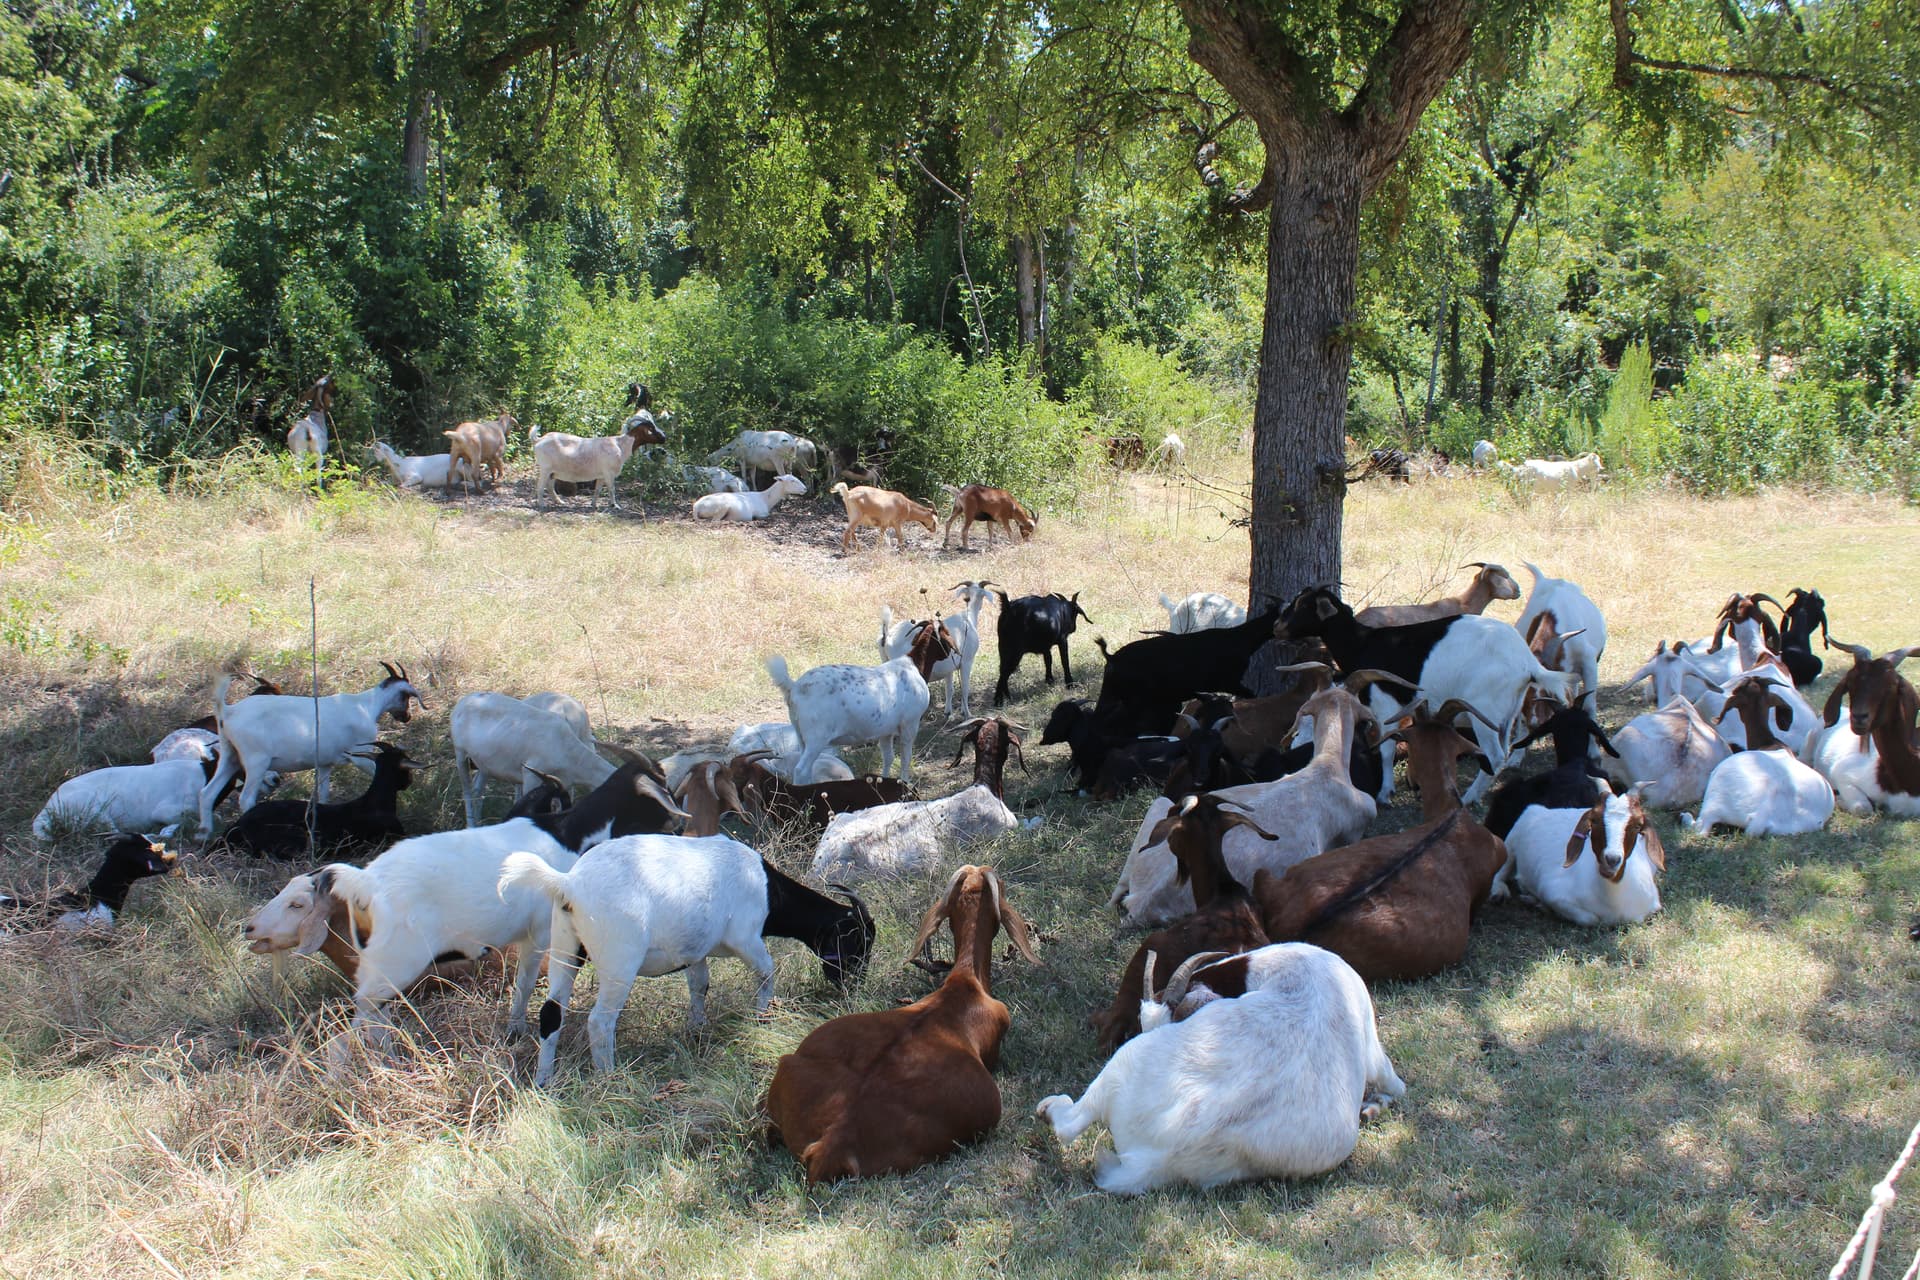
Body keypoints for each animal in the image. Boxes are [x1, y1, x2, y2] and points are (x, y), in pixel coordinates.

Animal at [197, 664, 422, 833]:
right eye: (406, 697)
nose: (407, 717)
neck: (366, 705)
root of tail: (228, 711)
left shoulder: (325, 763)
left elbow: (323, 795)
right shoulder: (361, 755)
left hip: (230, 756)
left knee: (207, 792)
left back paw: (204, 833)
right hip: (256, 761)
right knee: (245, 799)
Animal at [766, 624, 953, 785]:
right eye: (945, 633)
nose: (951, 651)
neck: (914, 666)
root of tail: (794, 687)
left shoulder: (885, 731)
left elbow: (888, 758)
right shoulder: (910, 723)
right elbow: (906, 758)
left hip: (801, 736)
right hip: (816, 737)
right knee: (801, 770)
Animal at [1036, 942, 1403, 1194]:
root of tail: (1162, 1155)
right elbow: (1396, 1088)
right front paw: (1372, 1107)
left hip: (1123, 1063)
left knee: (1069, 1124)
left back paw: (1049, 1106)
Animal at [1276, 585, 1578, 804]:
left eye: (1302, 605)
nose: (1277, 627)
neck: (1364, 643)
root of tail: (1528, 663)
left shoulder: (1386, 704)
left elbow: (1386, 747)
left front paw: (1385, 793)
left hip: (1485, 710)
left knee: (1494, 755)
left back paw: (1468, 799)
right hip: (1507, 711)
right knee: (1504, 751)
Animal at [1507, 786, 1666, 925]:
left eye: (1638, 825)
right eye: (1594, 820)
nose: (1612, 859)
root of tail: (1541, 809)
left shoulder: (1652, 905)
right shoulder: (1553, 892)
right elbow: (1590, 919)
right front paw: (1543, 906)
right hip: (1510, 842)